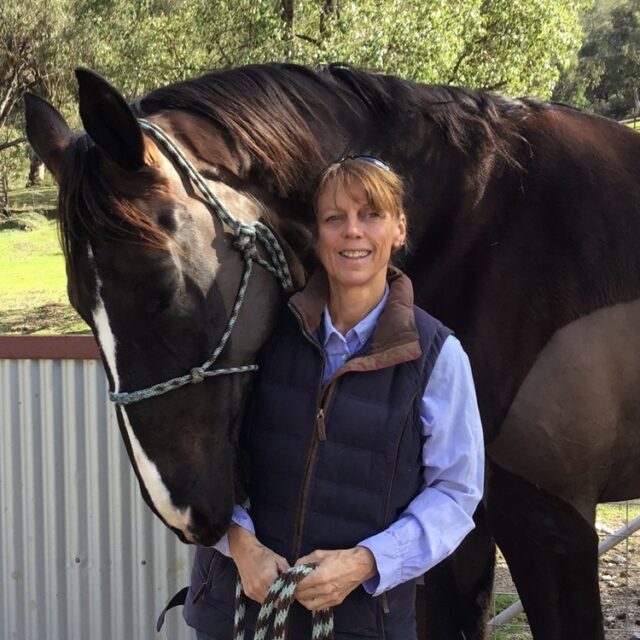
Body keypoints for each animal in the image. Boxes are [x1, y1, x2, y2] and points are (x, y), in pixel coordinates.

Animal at [24, 63, 640, 639]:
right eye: (80, 306)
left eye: (161, 286)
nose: (185, 513)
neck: (491, 236)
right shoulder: (461, 531)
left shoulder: (549, 523)